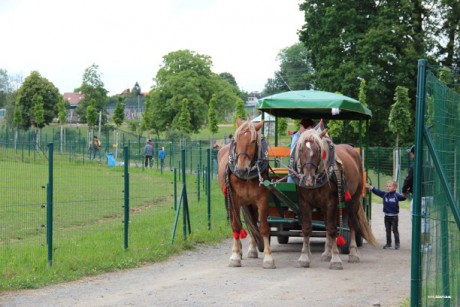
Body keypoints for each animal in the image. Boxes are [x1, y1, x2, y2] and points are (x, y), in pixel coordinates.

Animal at [217, 118, 274, 270]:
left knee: (253, 222)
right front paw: (235, 255)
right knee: (237, 223)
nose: (241, 169)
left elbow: (263, 227)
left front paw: (268, 257)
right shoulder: (234, 199)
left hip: (251, 202)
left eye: (253, 141)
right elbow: (236, 225)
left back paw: (253, 248)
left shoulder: (262, 199)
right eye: (236, 140)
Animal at [292, 129, 376, 270]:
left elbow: (333, 229)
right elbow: (307, 228)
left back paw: (353, 253)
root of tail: (352, 149)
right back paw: (327, 253)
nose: (308, 179)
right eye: (301, 149)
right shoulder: (304, 202)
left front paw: (336, 259)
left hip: (353, 200)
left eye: (318, 151)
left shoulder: (331, 202)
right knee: (326, 224)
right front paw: (304, 258)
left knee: (352, 224)